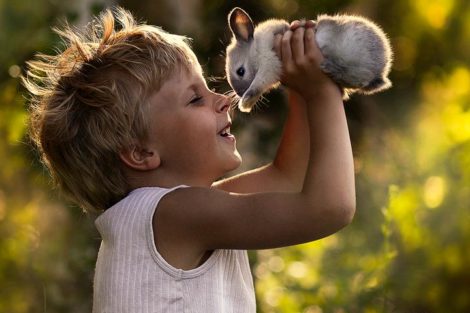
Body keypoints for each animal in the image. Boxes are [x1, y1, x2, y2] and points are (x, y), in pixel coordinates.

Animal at [225, 6, 392, 112]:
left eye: (240, 71)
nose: (239, 93)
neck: (256, 48)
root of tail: (382, 69)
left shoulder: (269, 63)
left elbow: (258, 84)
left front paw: (244, 104)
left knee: (360, 77)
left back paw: (331, 68)